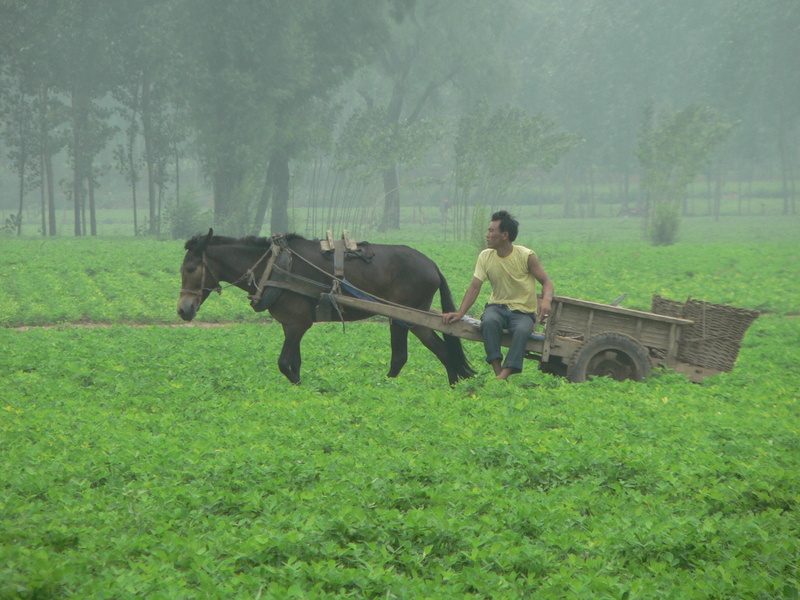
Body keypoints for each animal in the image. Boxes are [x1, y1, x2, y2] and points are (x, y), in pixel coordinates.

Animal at [177, 230, 476, 384]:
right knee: (433, 352)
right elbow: (294, 363)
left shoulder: (297, 324)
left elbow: (284, 364)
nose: (182, 310)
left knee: (420, 354)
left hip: (408, 316)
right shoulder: (291, 325)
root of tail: (433, 265)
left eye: (190, 268)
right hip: (407, 318)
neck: (273, 266)